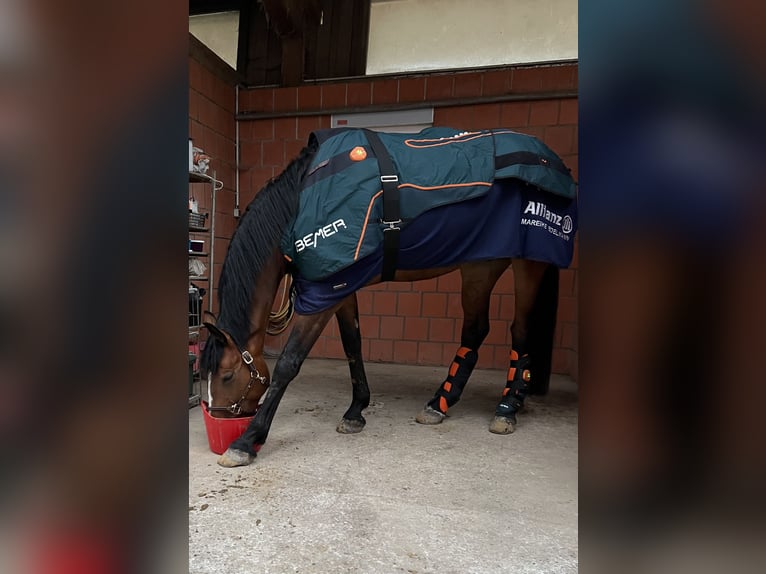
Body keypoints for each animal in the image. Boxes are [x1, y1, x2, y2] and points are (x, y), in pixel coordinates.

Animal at [200, 127, 577, 468]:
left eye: (227, 376)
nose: (219, 421)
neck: (299, 204)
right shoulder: (340, 286)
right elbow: (353, 345)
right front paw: (356, 411)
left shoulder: (324, 294)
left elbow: (288, 364)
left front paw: (247, 442)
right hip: (480, 264)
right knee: (475, 330)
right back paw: (440, 404)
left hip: (528, 263)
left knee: (520, 331)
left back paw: (507, 408)